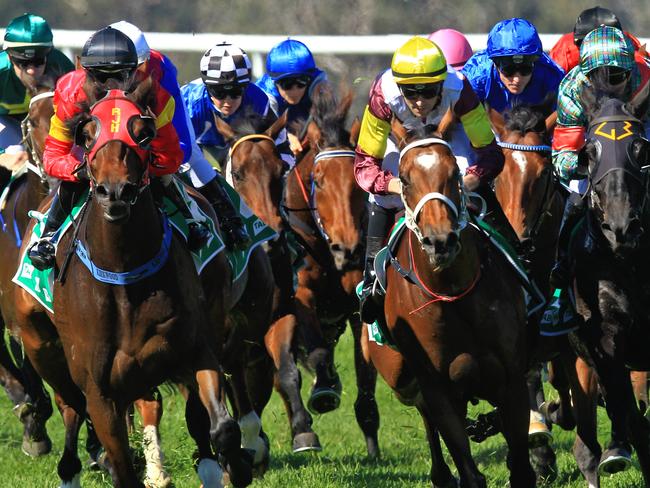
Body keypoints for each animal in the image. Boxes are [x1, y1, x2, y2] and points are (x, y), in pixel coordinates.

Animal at [13, 82, 256, 486]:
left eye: (143, 133)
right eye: (87, 134)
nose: (115, 192)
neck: (124, 276)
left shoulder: (195, 349)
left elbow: (222, 426)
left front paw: (237, 465)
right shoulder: (100, 392)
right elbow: (121, 463)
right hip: (41, 347)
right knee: (69, 406)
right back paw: (69, 468)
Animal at [362, 122, 536, 488]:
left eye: (453, 171)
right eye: (405, 178)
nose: (439, 241)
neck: (453, 293)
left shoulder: (512, 378)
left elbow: (521, 466)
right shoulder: (438, 388)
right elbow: (467, 468)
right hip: (398, 375)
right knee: (424, 413)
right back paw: (441, 473)